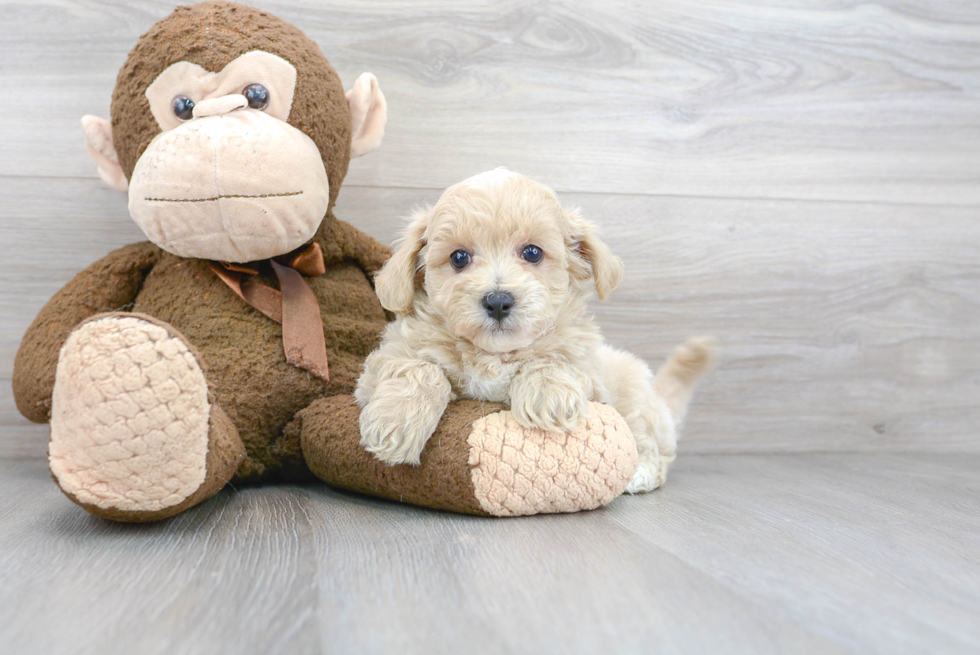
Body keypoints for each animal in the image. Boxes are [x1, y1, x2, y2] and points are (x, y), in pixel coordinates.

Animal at [356, 169, 716, 492]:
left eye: (532, 252)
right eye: (459, 258)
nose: (498, 301)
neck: (494, 354)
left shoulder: (590, 375)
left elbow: (551, 359)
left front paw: (548, 395)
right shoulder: (383, 362)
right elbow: (421, 368)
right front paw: (396, 421)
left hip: (634, 393)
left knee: (648, 440)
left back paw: (640, 471)